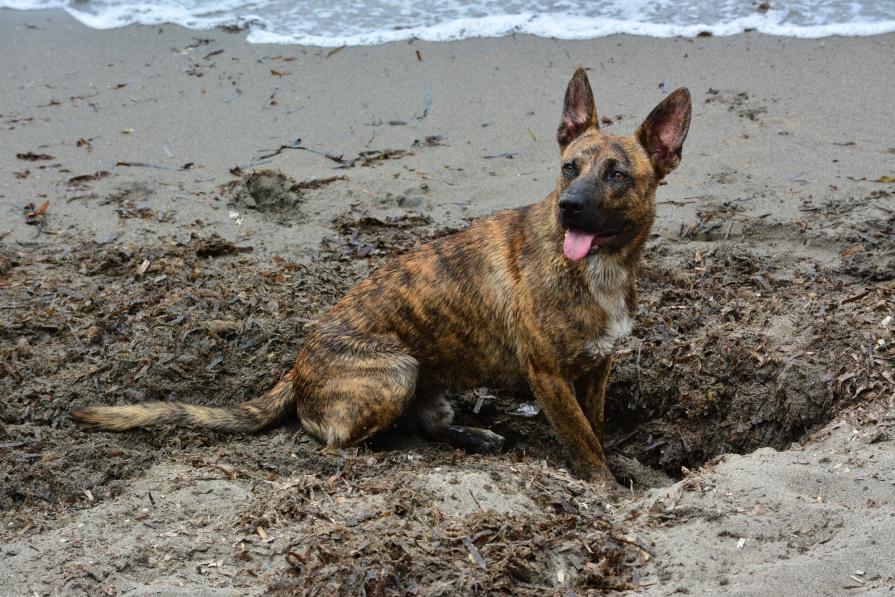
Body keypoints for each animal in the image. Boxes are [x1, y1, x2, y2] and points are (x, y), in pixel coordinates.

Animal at [75, 68, 692, 480]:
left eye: (617, 174)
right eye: (569, 167)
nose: (569, 206)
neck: (599, 269)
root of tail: (296, 369)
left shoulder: (595, 369)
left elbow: (595, 426)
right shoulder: (549, 377)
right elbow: (583, 442)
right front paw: (604, 487)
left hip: (425, 379)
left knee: (425, 422)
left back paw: (470, 434)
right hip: (394, 371)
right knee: (339, 442)